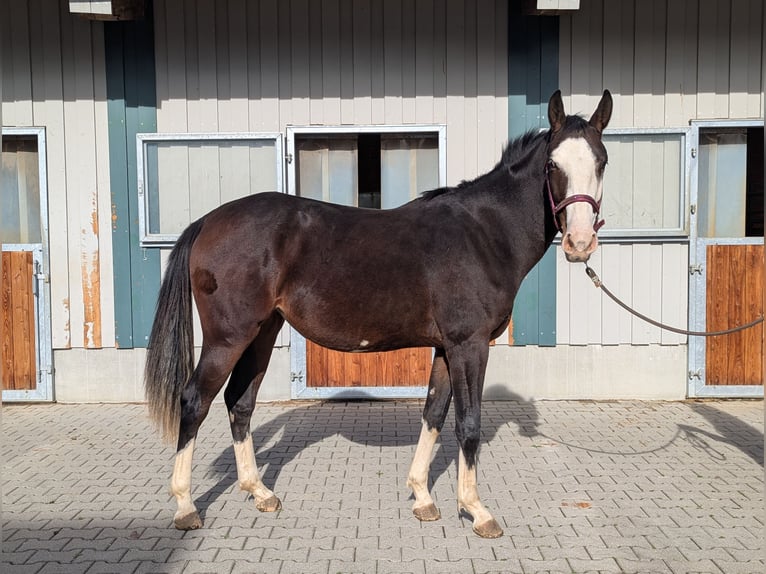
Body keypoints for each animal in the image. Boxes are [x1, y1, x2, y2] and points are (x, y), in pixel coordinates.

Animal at [144, 89, 612, 539]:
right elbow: (468, 423)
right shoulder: (470, 345)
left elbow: (434, 413)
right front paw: (476, 511)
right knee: (195, 401)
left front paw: (423, 497)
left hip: (261, 332)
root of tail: (208, 221)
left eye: (602, 161)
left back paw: (259, 492)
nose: (580, 243)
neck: (484, 233)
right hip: (228, 338)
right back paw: (186, 506)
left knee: (239, 403)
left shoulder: (446, 348)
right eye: (552, 164)